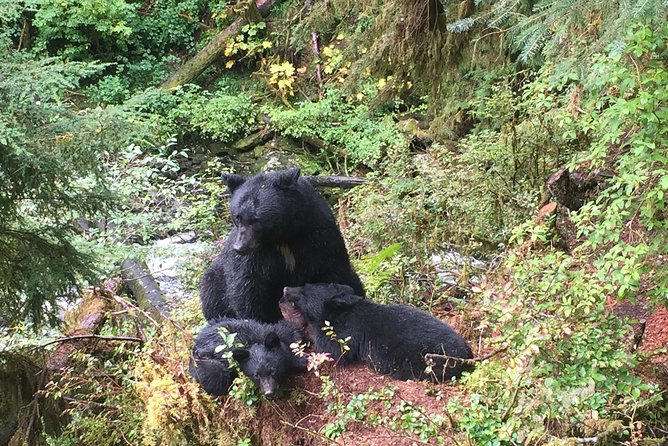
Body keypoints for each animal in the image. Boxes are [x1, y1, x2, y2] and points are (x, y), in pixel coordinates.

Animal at [199, 168, 365, 322]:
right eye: (237, 217)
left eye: (256, 219)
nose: (240, 247)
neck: (283, 236)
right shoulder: (254, 257)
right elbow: (247, 286)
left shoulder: (318, 235)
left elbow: (332, 270)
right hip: (215, 279)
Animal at [279, 283, 474, 382]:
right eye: (304, 284)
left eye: (304, 292)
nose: (285, 289)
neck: (339, 312)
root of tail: (466, 355)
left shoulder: (345, 334)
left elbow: (335, 352)